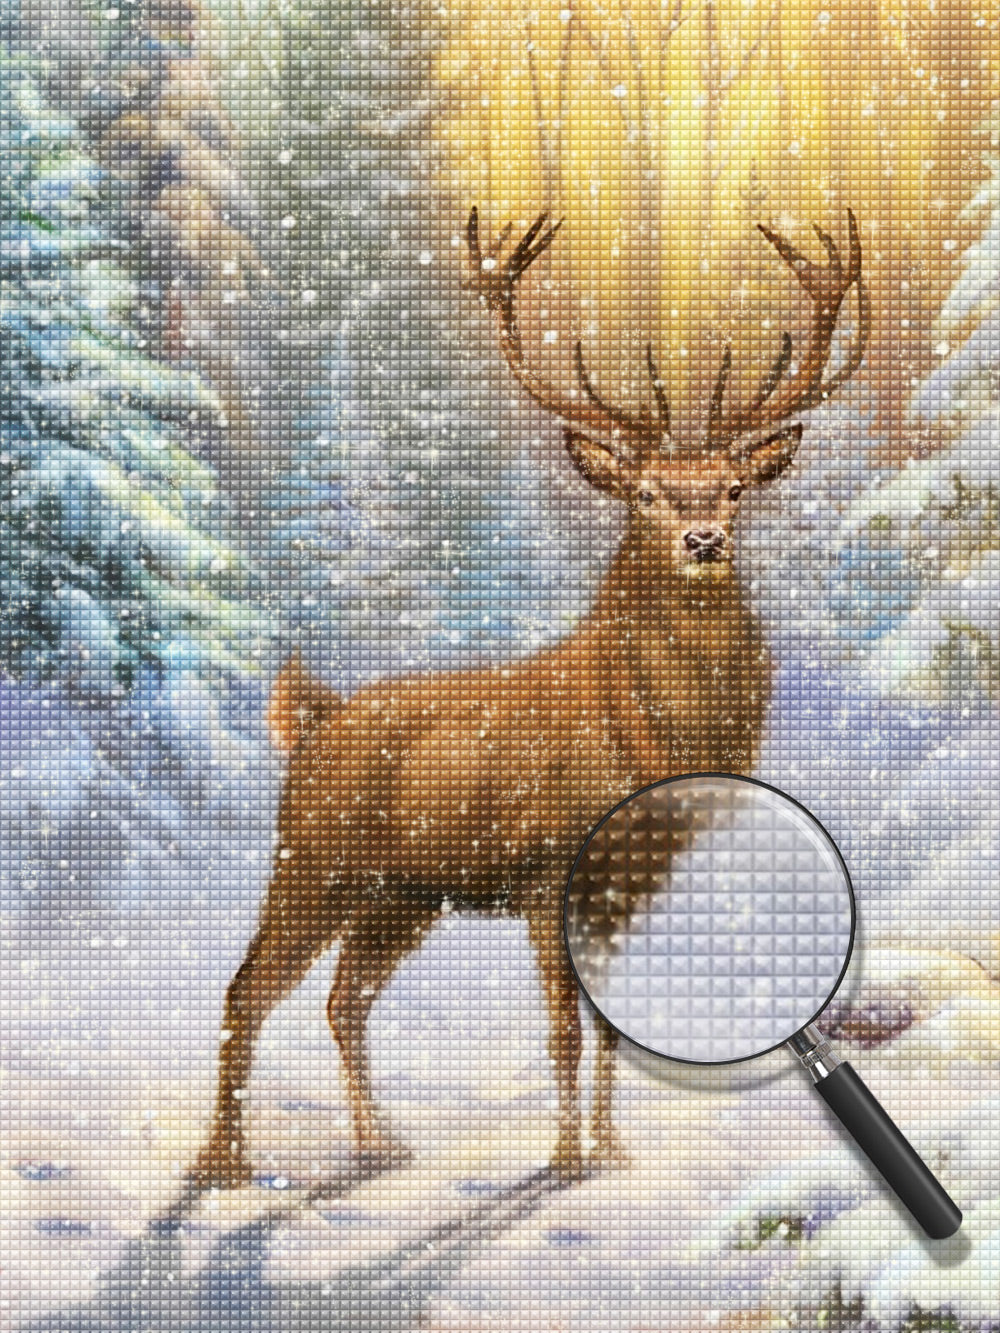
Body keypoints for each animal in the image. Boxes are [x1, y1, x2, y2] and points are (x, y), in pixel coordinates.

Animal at [190, 206, 868, 1188]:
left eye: (736, 487)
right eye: (647, 493)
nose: (704, 538)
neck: (654, 740)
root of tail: (313, 721)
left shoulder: (631, 887)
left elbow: (611, 1029)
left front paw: (614, 1148)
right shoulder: (548, 867)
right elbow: (562, 1030)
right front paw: (566, 1157)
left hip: (404, 895)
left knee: (344, 996)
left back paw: (379, 1140)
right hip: (313, 859)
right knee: (248, 987)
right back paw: (224, 1164)